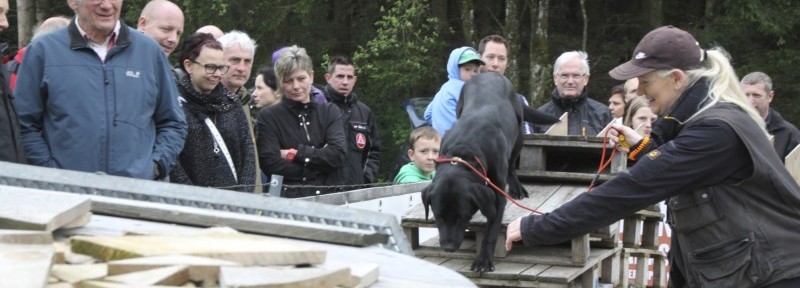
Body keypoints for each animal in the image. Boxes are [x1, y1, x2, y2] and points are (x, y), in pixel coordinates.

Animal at [422, 73, 560, 272]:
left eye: (462, 217)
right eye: (438, 216)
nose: (449, 248)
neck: (466, 148)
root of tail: (490, 73)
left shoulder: (497, 197)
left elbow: (491, 232)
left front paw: (484, 261)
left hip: (518, 134)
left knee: (512, 165)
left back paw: (517, 188)